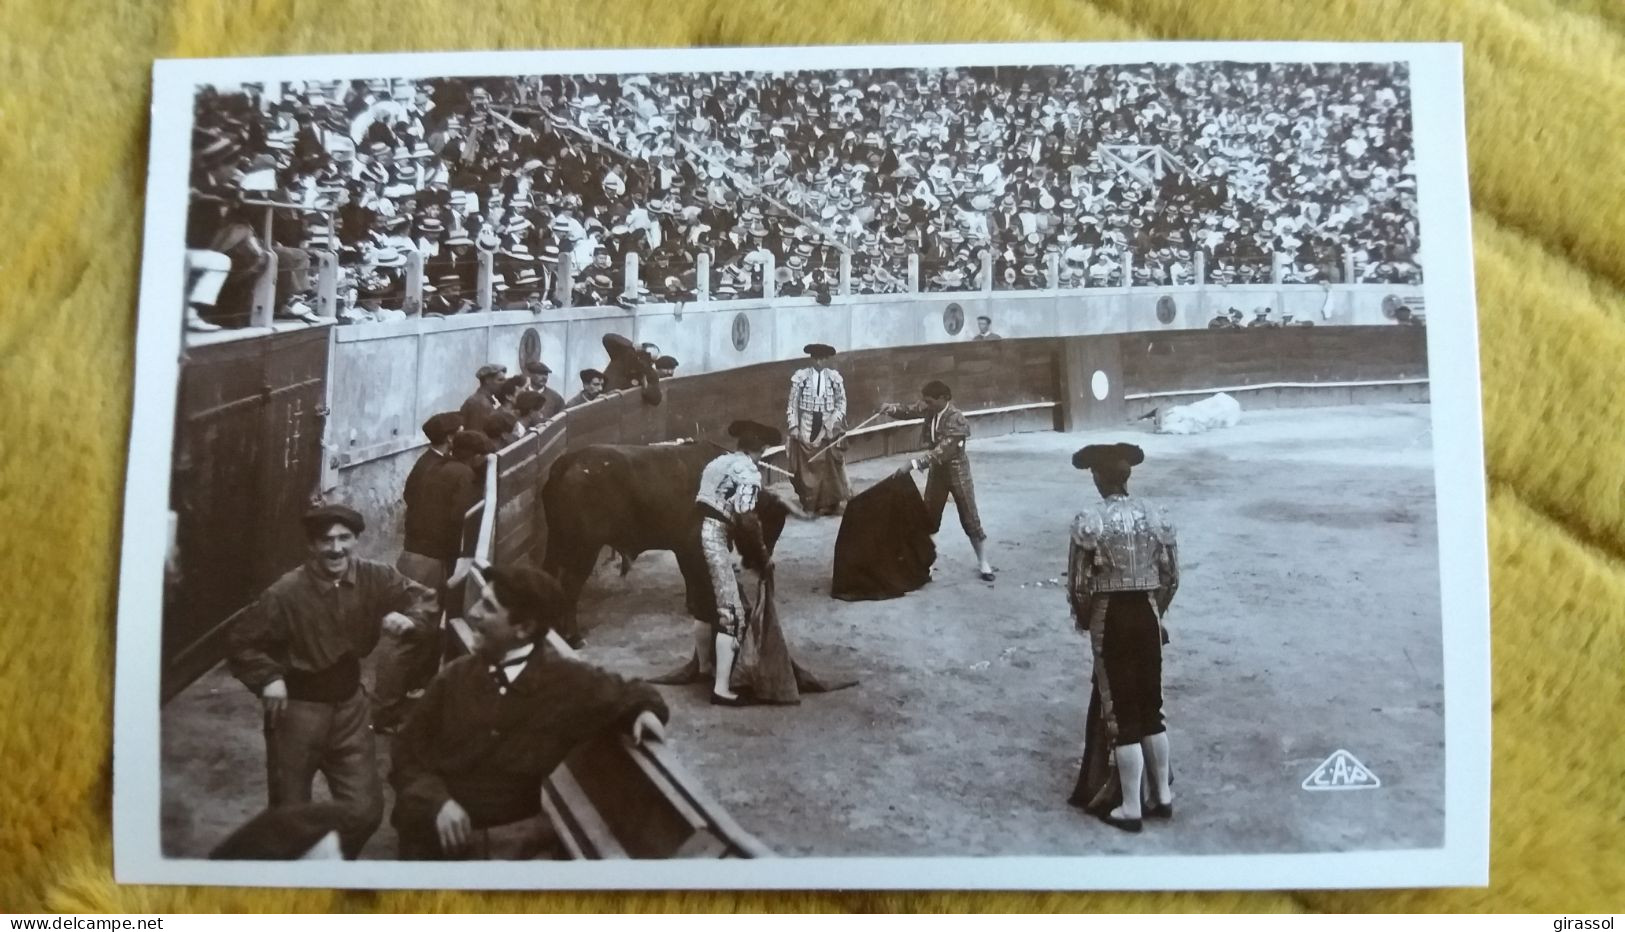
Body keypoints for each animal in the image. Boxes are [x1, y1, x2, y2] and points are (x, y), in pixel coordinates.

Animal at [542, 441, 796, 646]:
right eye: (769, 525)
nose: (764, 564)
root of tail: (567, 463)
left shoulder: (683, 546)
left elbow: (689, 574)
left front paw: (692, 606)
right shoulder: (692, 544)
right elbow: (695, 573)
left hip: (555, 543)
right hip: (585, 549)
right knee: (570, 587)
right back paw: (573, 637)